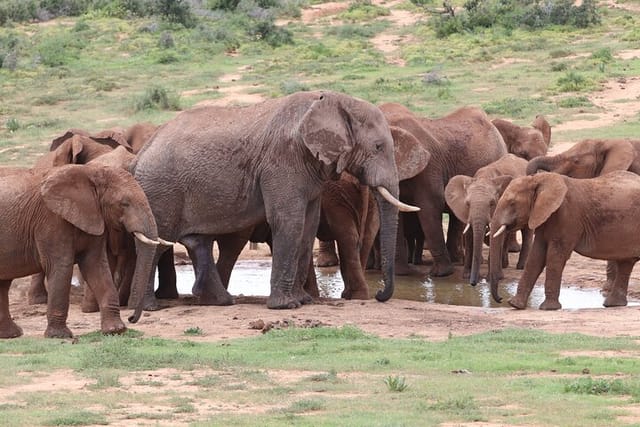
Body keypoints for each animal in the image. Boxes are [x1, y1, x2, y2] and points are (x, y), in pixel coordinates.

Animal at [0, 163, 159, 338]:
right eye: (124, 203)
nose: (131, 318)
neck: (89, 172)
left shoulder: (94, 217)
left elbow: (96, 265)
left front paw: (116, 330)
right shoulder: (51, 220)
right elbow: (61, 267)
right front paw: (59, 336)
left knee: (3, 284)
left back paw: (11, 334)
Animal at [134, 91, 424, 310]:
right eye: (378, 147)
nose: (379, 296)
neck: (335, 99)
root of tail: (140, 153)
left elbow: (308, 225)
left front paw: (303, 301)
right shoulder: (283, 161)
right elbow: (289, 221)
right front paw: (286, 306)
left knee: (198, 242)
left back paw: (221, 302)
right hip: (161, 189)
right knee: (159, 241)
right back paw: (149, 307)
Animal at [444, 152, 528, 286]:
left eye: (492, 203)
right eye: (467, 204)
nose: (474, 283)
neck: (485, 177)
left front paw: (492, 278)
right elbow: (469, 235)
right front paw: (466, 276)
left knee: (527, 231)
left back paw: (520, 266)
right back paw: (504, 265)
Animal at [488, 171, 640, 310]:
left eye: (512, 203)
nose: (500, 299)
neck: (540, 179)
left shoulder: (567, 216)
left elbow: (555, 256)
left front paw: (548, 308)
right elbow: (536, 256)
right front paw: (515, 305)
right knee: (626, 263)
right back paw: (613, 304)